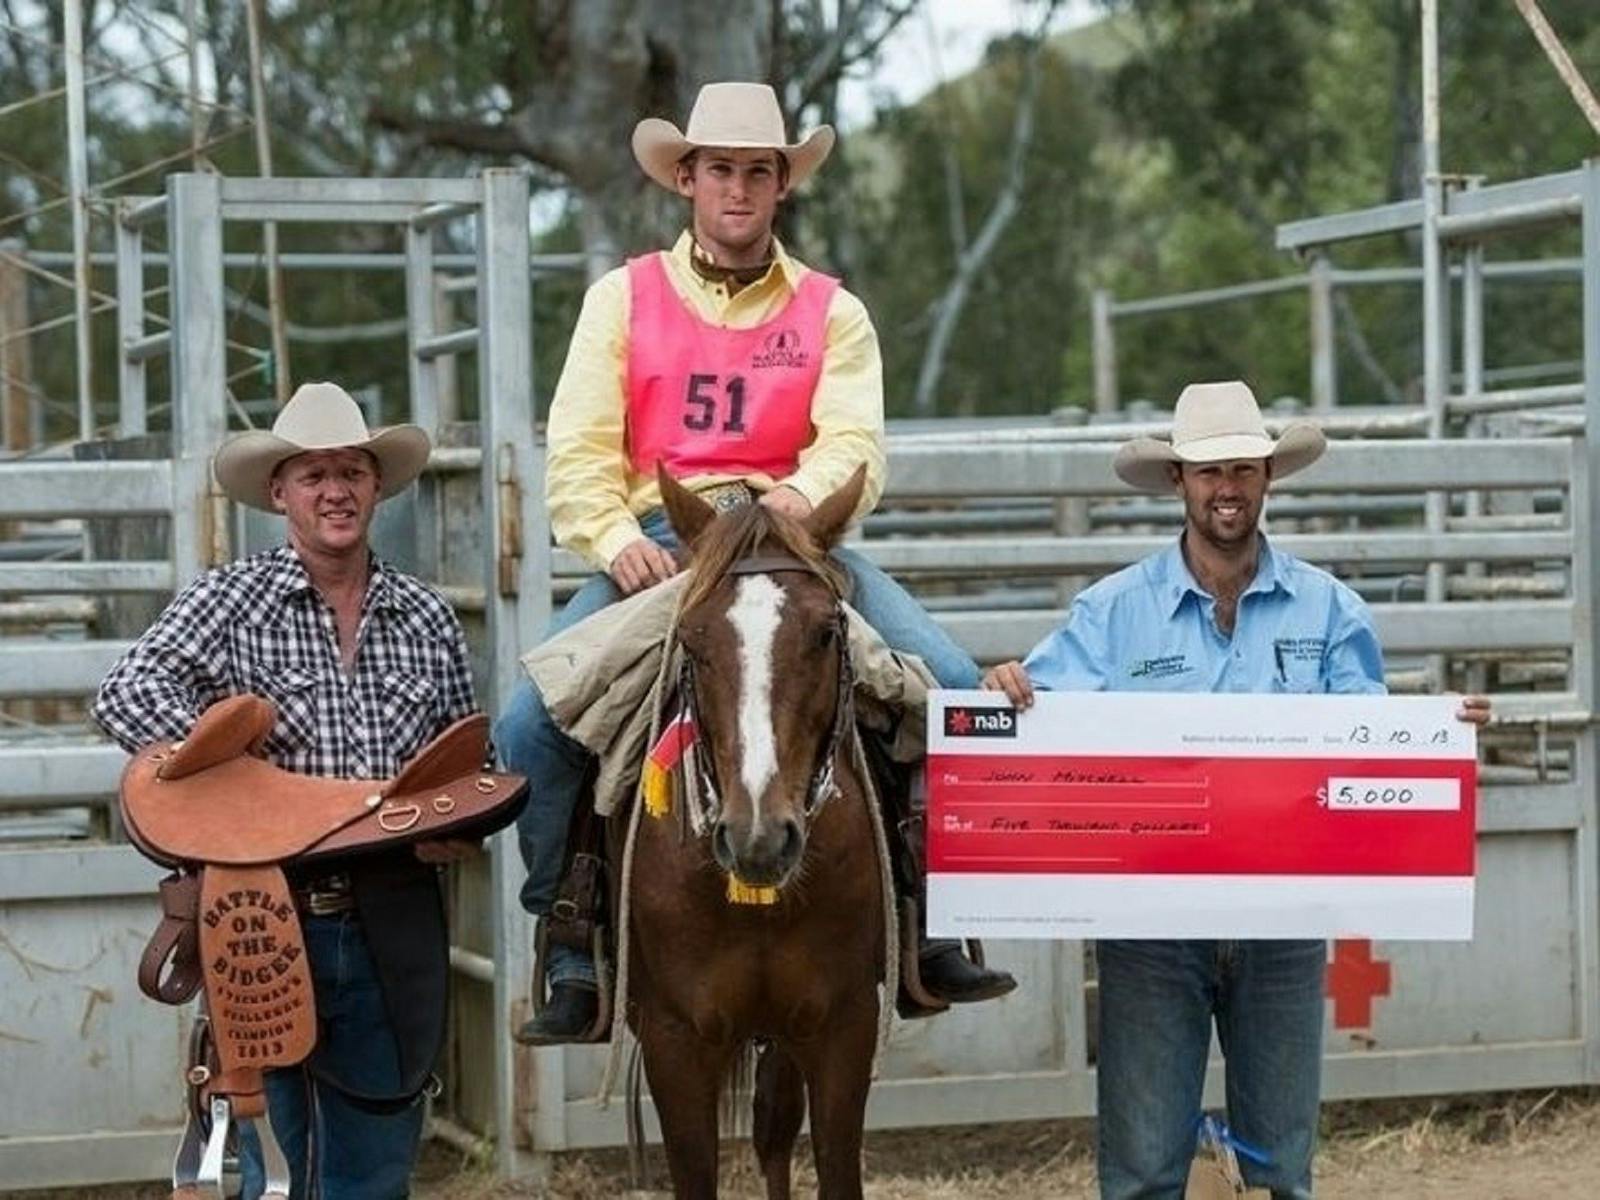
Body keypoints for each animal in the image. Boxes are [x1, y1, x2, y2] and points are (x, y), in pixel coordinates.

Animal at [627, 470, 889, 1200]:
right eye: (692, 642)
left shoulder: (842, 1026)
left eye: (827, 632)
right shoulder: (675, 1039)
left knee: (774, 1132)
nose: (759, 839)